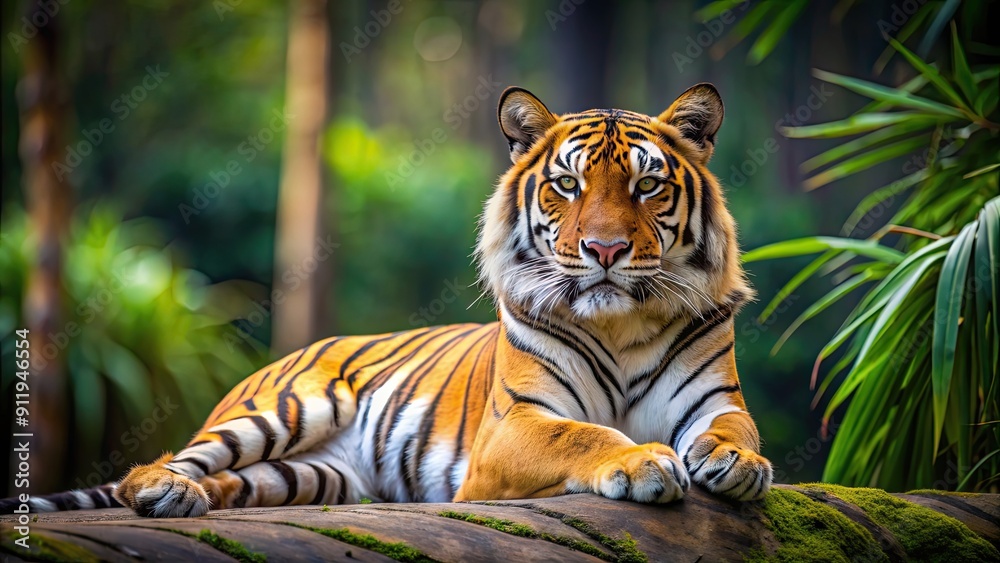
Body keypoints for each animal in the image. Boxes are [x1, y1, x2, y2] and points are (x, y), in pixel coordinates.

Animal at [9, 83, 772, 518]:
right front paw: (644, 461)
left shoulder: (714, 401)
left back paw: (193, 500)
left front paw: (738, 465)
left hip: (307, 475)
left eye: (647, 186)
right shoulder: (515, 426)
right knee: (169, 461)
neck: (619, 323)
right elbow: (583, 433)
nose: (605, 251)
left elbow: (736, 431)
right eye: (568, 185)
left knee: (236, 483)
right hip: (283, 411)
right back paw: (160, 490)